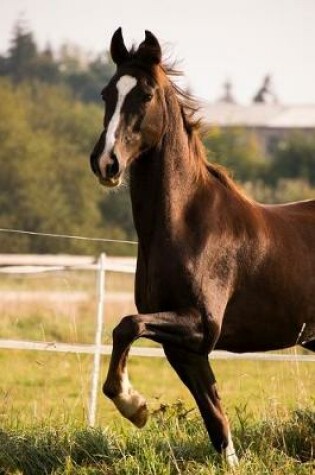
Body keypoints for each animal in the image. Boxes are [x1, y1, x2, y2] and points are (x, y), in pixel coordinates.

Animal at [89, 27, 315, 466]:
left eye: (145, 94)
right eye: (106, 92)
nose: (105, 163)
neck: (187, 226)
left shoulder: (201, 325)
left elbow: (127, 325)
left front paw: (134, 406)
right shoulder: (186, 350)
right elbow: (215, 417)